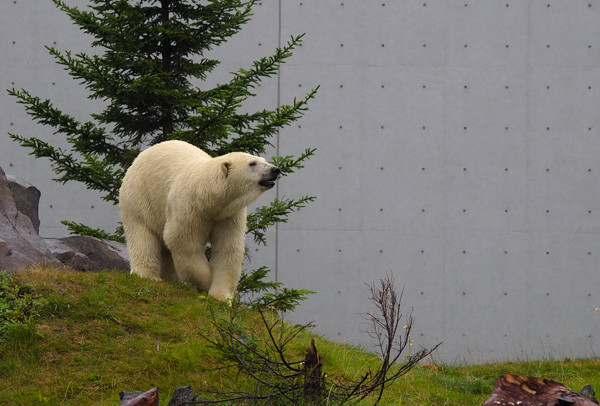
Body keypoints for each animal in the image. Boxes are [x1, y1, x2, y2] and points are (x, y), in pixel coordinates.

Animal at [118, 140, 280, 302]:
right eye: (252, 163)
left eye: (264, 160)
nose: (275, 169)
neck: (208, 197)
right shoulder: (189, 207)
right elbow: (183, 242)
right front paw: (207, 281)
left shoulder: (229, 216)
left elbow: (228, 248)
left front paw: (220, 296)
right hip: (140, 197)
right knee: (142, 234)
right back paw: (148, 274)